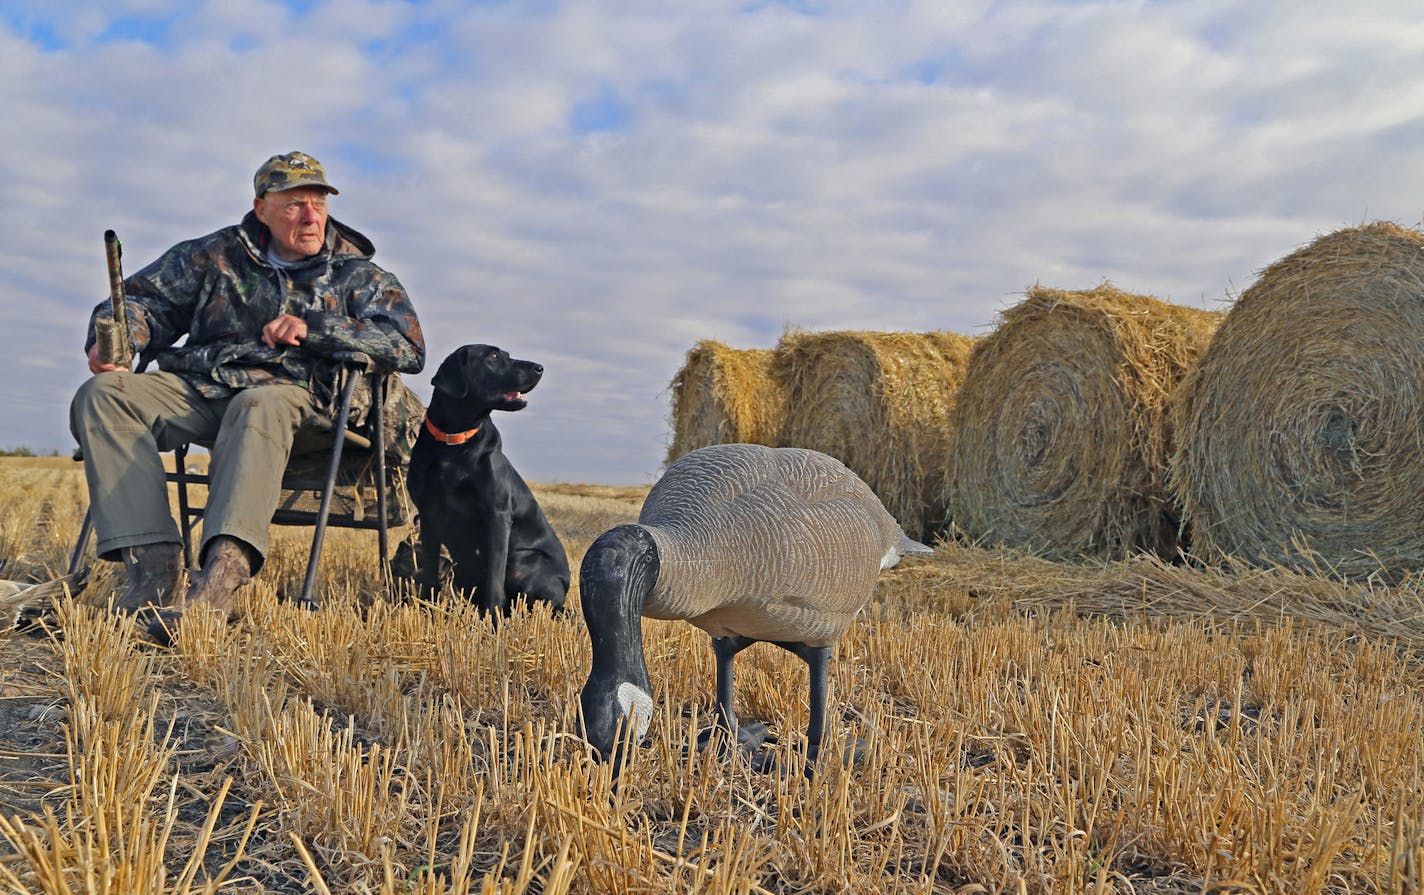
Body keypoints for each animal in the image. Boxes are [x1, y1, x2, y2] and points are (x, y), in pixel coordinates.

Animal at [407, 341, 566, 614]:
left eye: (507, 354)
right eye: (492, 356)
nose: (539, 367)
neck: (454, 444)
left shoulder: (497, 515)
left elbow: (495, 577)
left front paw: (492, 619)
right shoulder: (428, 515)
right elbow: (429, 572)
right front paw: (427, 609)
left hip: (523, 562)